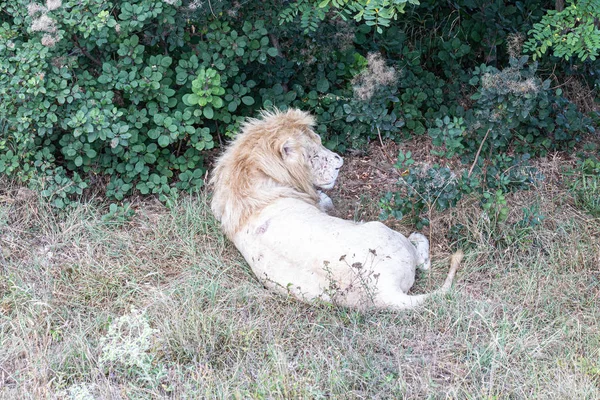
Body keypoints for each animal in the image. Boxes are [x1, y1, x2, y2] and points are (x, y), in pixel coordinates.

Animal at [211, 109, 464, 312]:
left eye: (320, 141)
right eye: (313, 155)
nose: (339, 163)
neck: (245, 178)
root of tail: (386, 292)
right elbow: (325, 201)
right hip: (383, 230)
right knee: (424, 262)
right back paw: (418, 237)